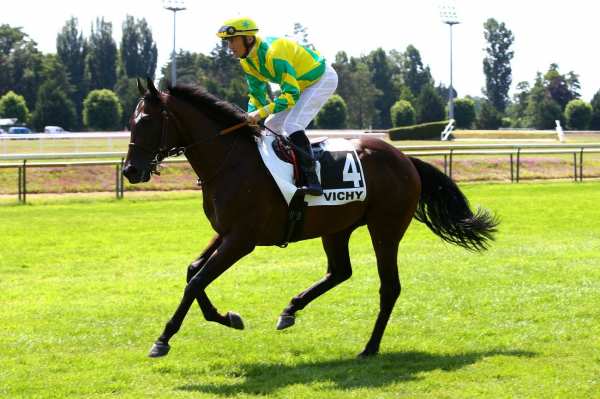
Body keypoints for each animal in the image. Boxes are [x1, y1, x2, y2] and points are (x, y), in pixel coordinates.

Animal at [122, 78, 496, 360]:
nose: (130, 171)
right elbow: (193, 271)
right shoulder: (225, 232)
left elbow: (197, 280)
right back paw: (290, 309)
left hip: (385, 228)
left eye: (147, 121)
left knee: (389, 286)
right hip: (337, 228)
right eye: (130, 122)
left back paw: (370, 347)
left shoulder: (242, 239)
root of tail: (405, 159)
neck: (231, 162)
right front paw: (227, 317)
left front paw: (163, 339)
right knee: (340, 271)